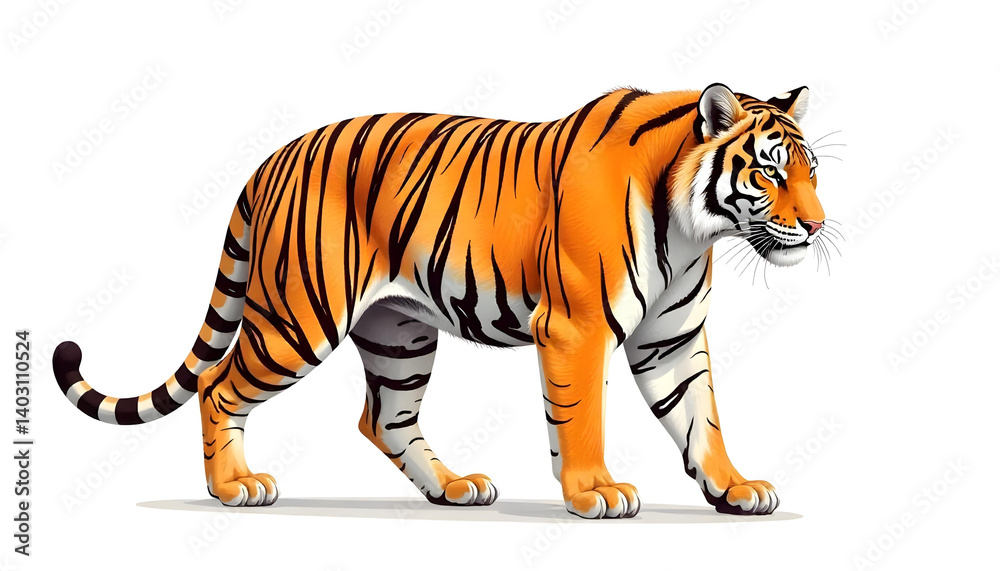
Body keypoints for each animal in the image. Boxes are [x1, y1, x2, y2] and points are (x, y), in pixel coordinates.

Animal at [53, 83, 826, 519]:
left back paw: (454, 487)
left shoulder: (670, 337)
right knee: (219, 387)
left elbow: (703, 419)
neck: (694, 227)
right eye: (769, 171)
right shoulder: (574, 328)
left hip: (398, 332)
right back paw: (236, 487)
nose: (818, 226)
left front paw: (734, 489)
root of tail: (272, 159)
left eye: (812, 172)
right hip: (296, 321)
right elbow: (582, 420)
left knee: (382, 417)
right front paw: (594, 494)